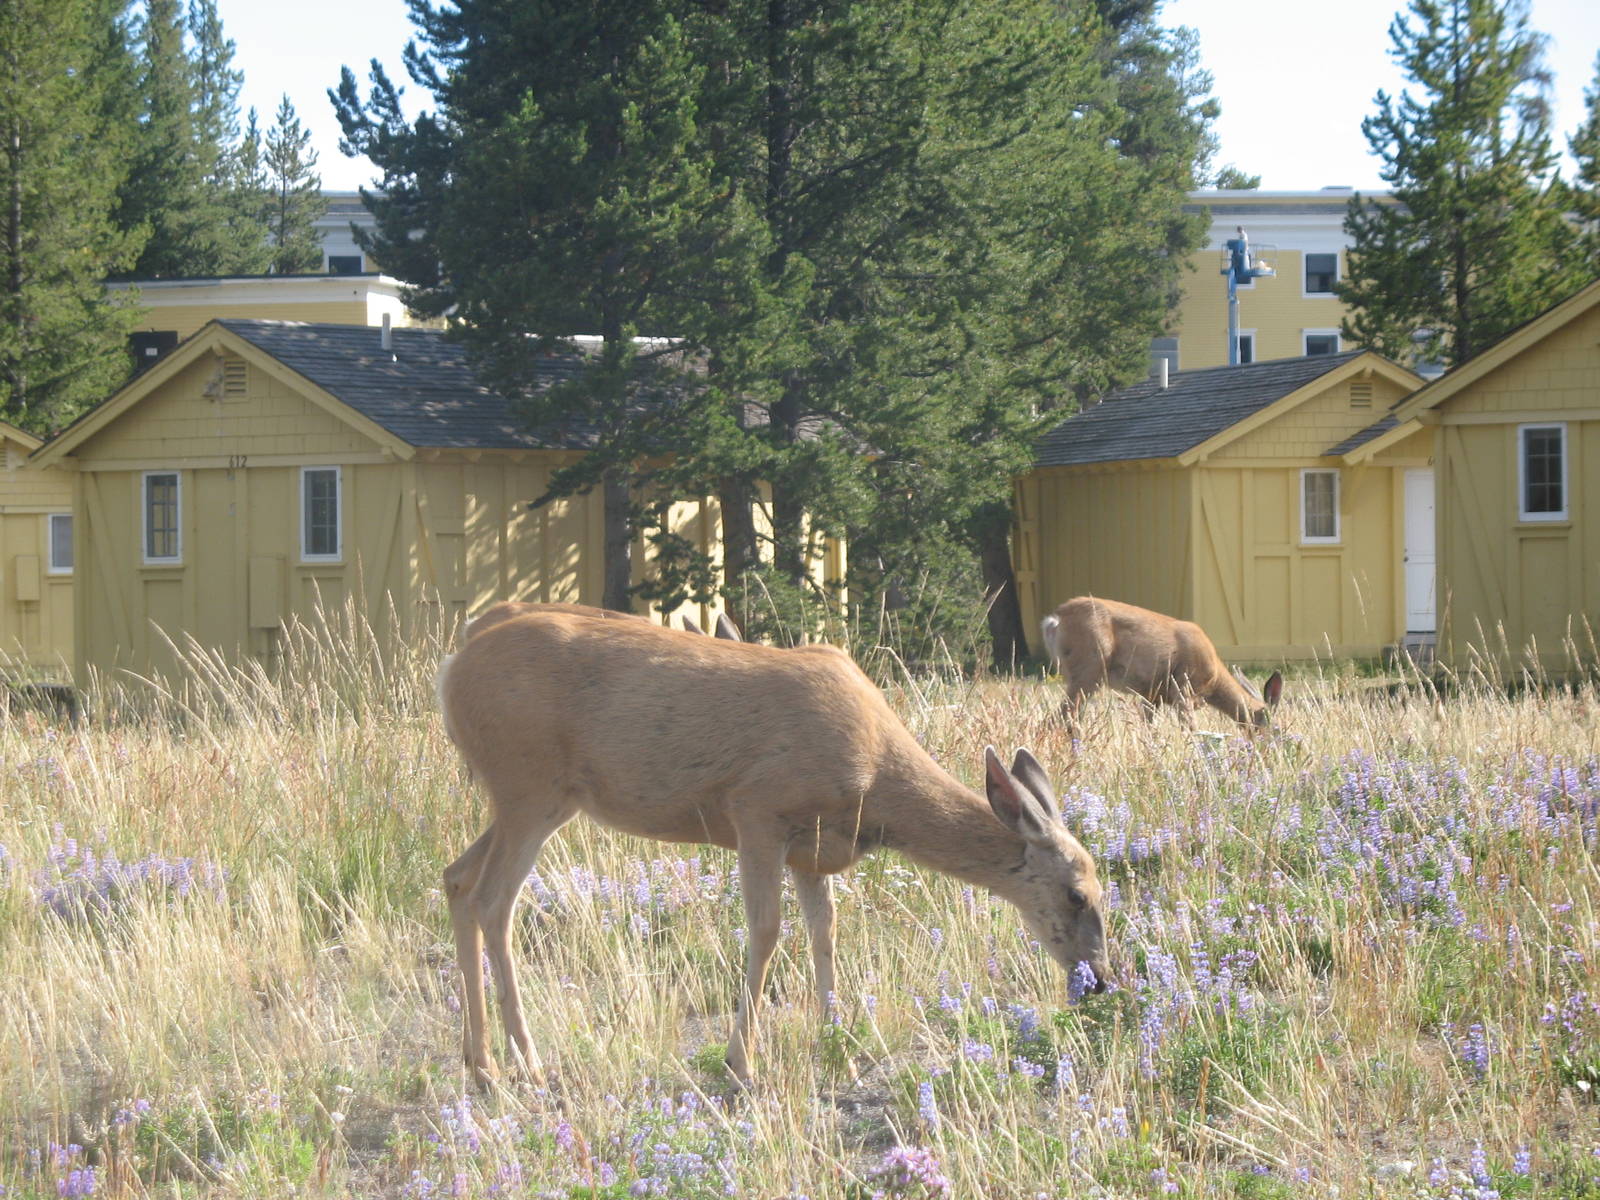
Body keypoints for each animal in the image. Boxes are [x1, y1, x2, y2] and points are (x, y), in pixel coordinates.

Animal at [436, 602, 1111, 1087]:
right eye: (1078, 895)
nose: (1101, 982)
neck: (876, 781)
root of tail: (451, 669)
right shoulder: (756, 809)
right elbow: (765, 930)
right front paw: (743, 1064)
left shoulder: (812, 848)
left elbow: (825, 929)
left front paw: (839, 1044)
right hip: (529, 782)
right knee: (495, 900)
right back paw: (525, 1061)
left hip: (533, 797)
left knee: (458, 878)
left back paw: (480, 1062)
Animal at [1041, 596, 1282, 737]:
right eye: (1276, 728)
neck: (1213, 681)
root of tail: (1054, 620)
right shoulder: (1183, 688)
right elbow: (1190, 731)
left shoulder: (1151, 695)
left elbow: (1149, 732)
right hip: (1089, 669)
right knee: (1055, 720)